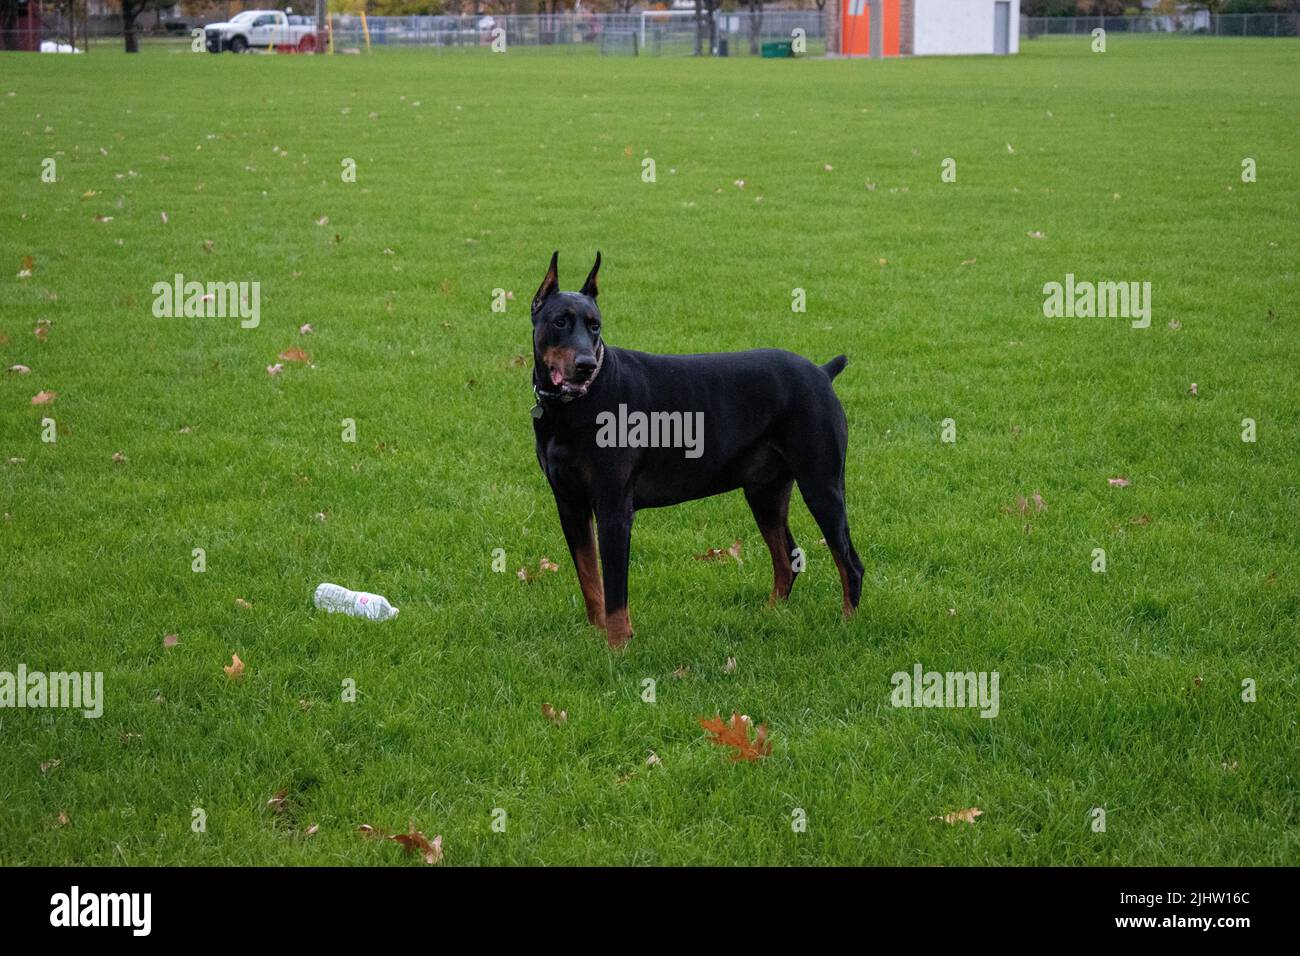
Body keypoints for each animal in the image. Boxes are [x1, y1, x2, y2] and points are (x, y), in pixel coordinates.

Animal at [530, 251, 863, 647]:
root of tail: (822, 372)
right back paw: (769, 616)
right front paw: (598, 637)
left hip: (822, 483)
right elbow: (590, 579)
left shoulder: (614, 508)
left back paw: (847, 626)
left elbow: (615, 591)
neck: (572, 407)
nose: (586, 365)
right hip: (765, 490)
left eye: (595, 326)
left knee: (850, 563)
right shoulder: (570, 505)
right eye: (560, 321)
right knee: (787, 558)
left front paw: (618, 646)